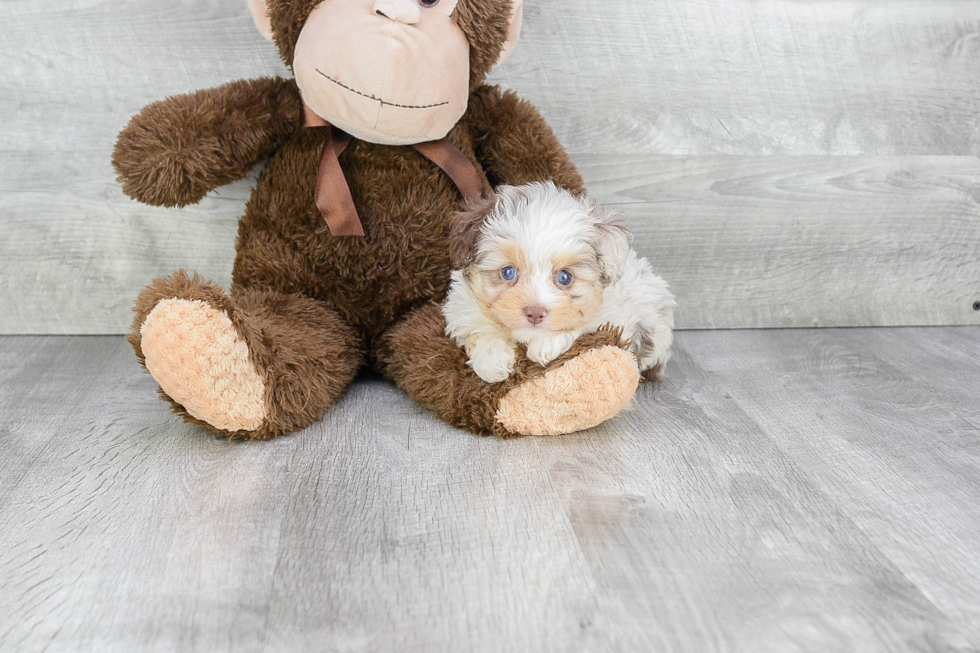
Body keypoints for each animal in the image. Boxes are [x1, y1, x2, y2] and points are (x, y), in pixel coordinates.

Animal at [442, 180, 672, 382]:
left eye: (565, 277)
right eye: (508, 272)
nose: (535, 313)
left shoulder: (612, 317)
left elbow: (583, 324)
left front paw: (547, 343)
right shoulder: (462, 309)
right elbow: (478, 329)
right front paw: (492, 359)